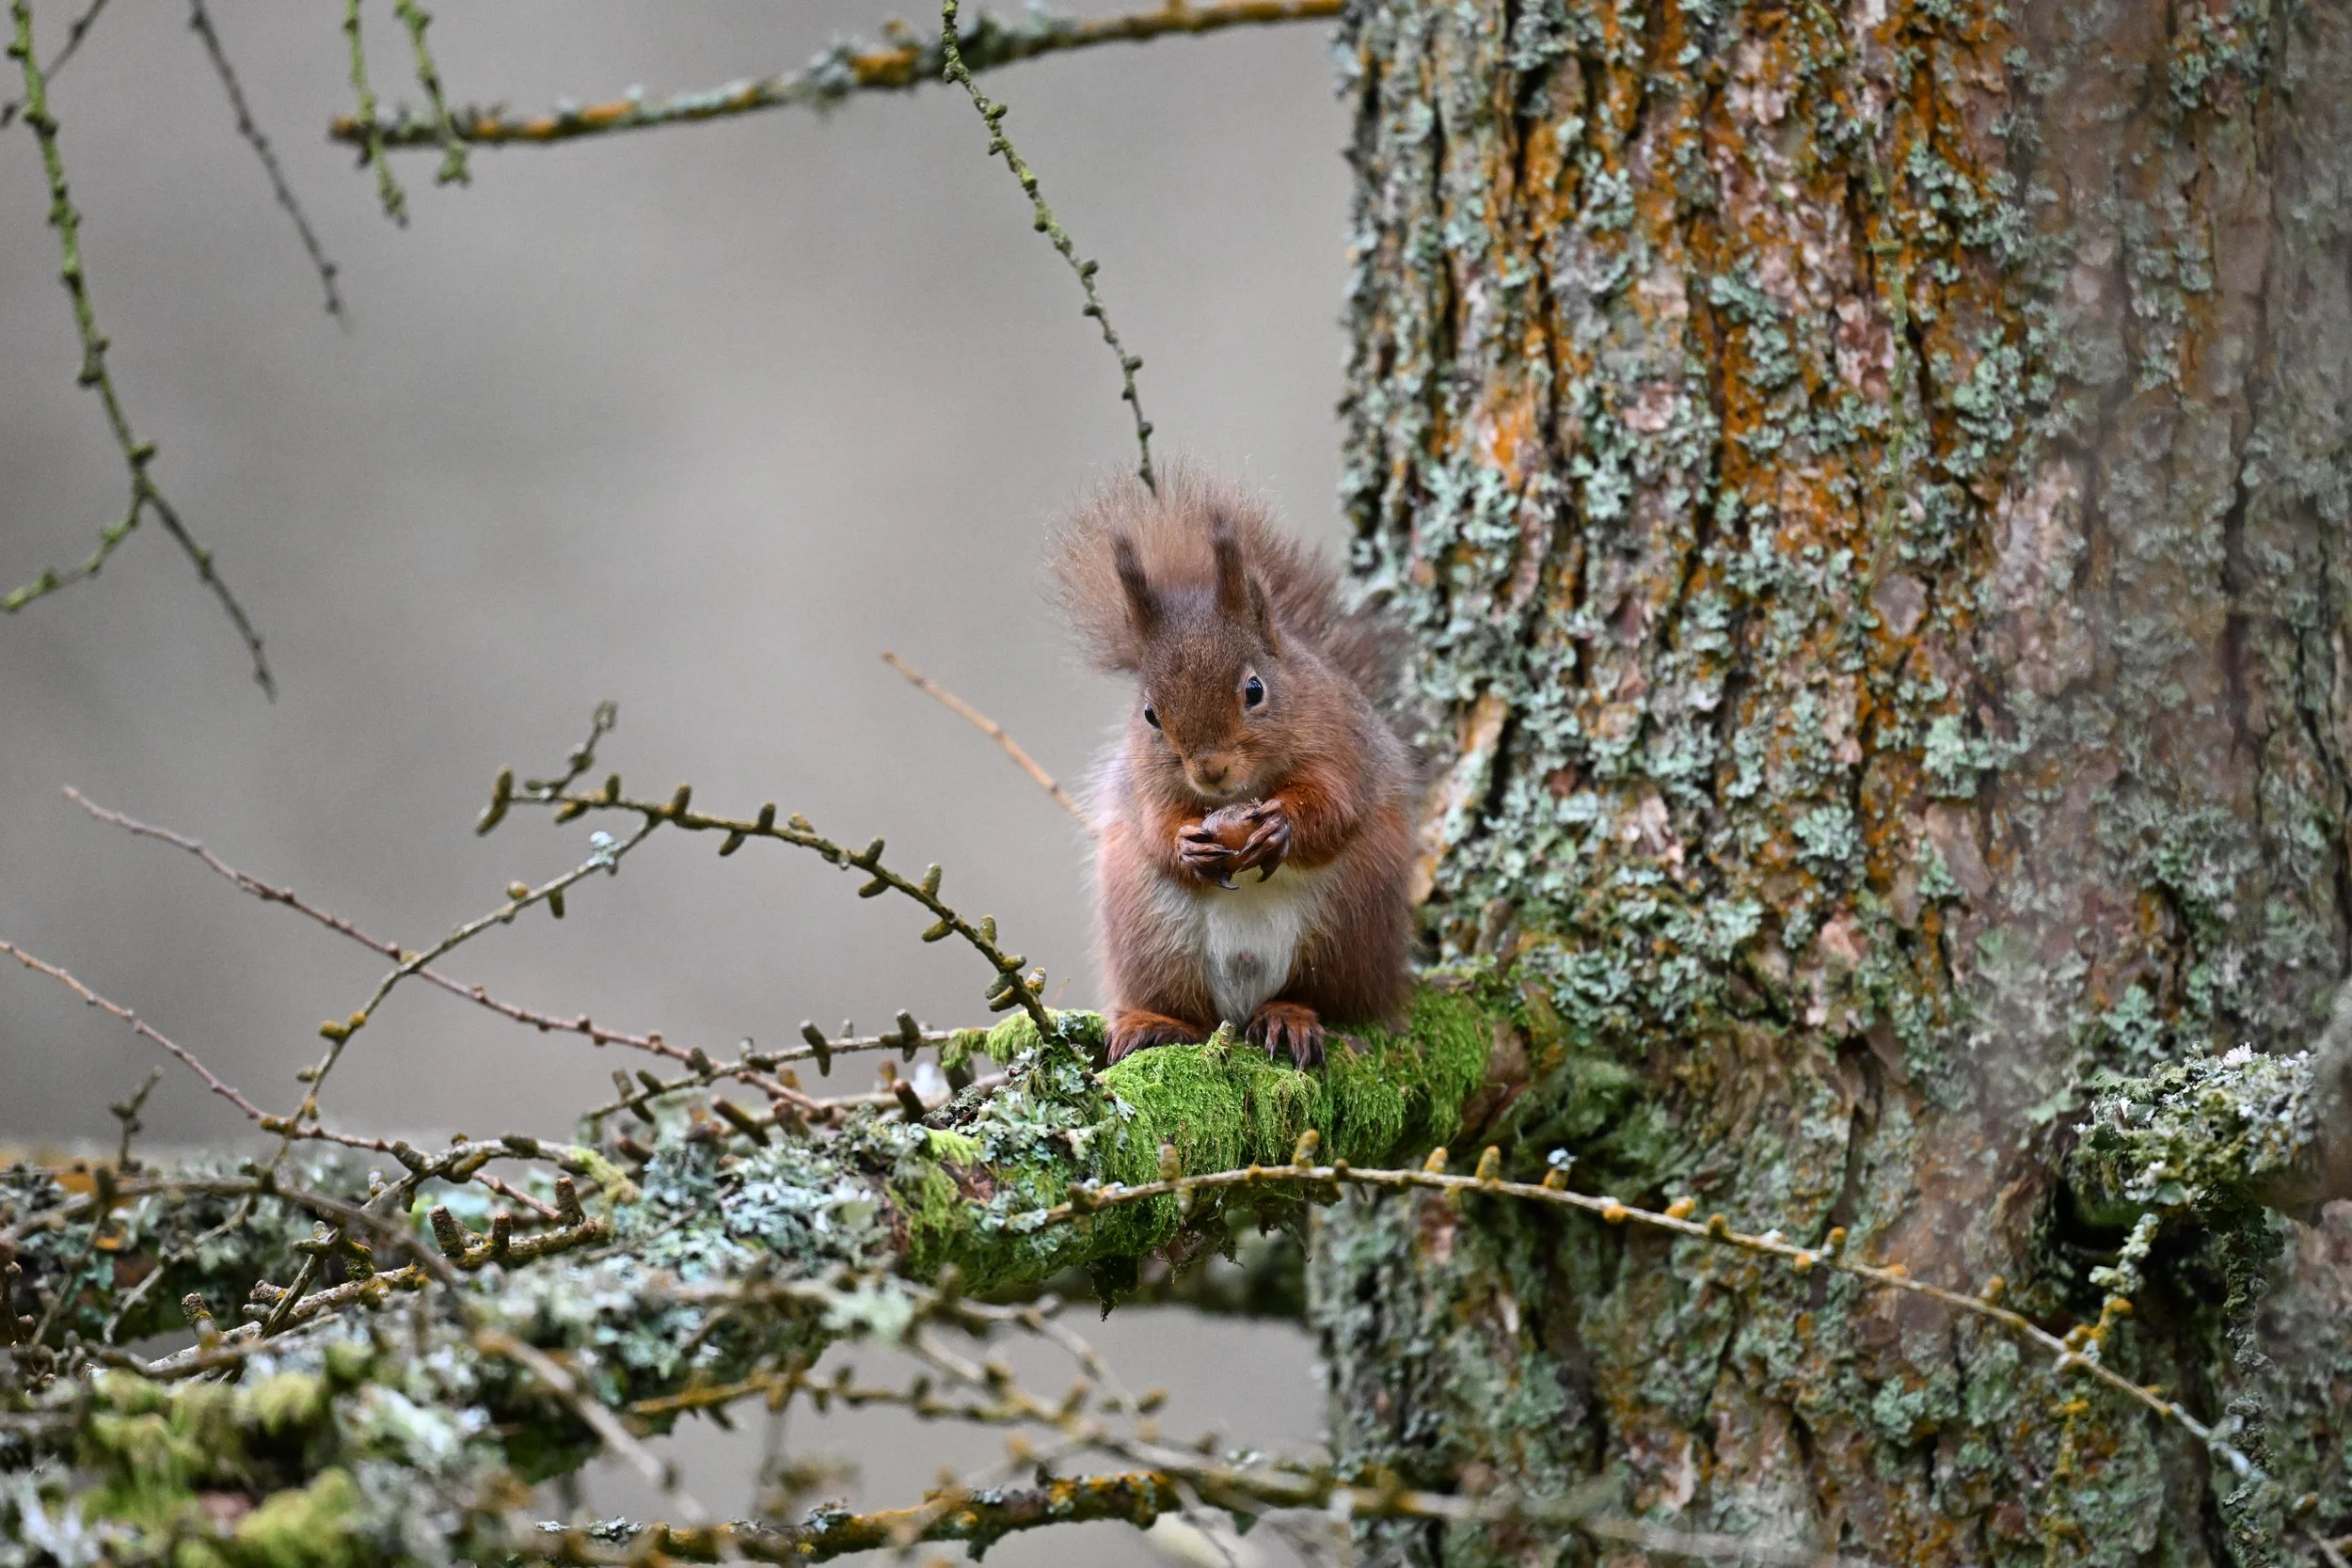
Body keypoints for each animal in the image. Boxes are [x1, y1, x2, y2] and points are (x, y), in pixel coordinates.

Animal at [1051, 465, 1417, 1068]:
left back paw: (1289, 1017)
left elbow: (1335, 807)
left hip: (1346, 929)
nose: (1209, 771)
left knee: (1322, 998)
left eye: (1254, 689)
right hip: (1153, 939)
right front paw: (1185, 845)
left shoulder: (1343, 746)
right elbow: (1155, 826)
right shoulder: (1144, 784)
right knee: (1188, 1011)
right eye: (1149, 714)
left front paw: (1281, 826)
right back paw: (1155, 1023)